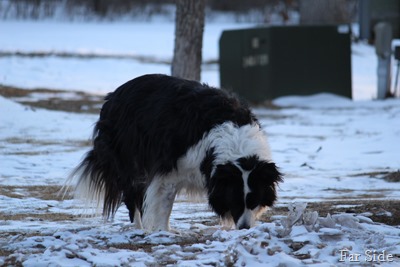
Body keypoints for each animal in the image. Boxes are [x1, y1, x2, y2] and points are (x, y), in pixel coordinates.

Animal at [72, 74, 284, 231]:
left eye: (254, 200)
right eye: (235, 200)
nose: (244, 228)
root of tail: (112, 96)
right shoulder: (168, 168)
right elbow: (164, 203)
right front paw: (162, 231)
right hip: (127, 155)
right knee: (132, 193)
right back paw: (139, 227)